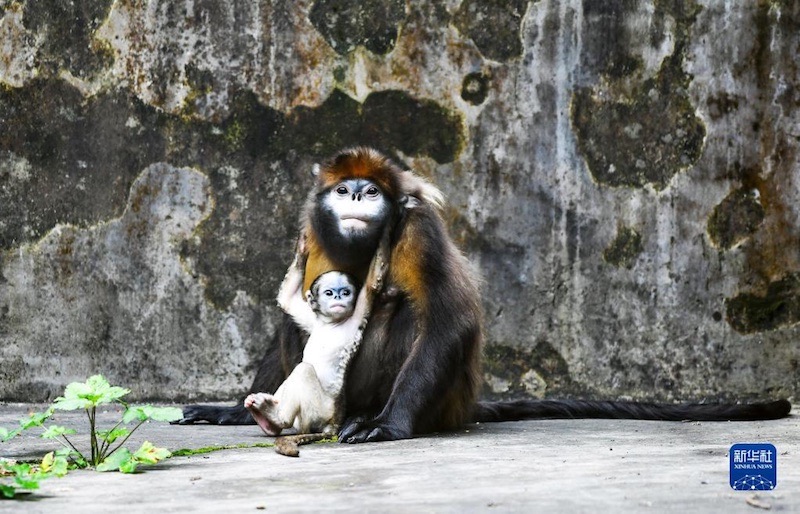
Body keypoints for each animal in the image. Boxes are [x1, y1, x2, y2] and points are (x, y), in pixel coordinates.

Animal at [178, 147, 791, 441]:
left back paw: (371, 415)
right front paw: (230, 410)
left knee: (404, 310)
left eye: (372, 191)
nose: (354, 194)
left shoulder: (416, 227)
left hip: (442, 401)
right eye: (343, 189)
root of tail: (464, 405)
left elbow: (448, 321)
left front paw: (388, 426)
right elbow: (291, 311)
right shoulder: (310, 232)